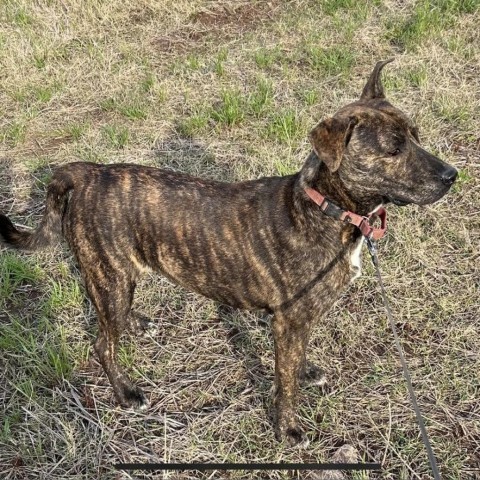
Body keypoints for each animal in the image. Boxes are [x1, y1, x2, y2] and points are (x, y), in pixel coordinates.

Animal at [0, 60, 458, 446]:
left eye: (416, 136)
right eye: (393, 149)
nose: (453, 175)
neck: (325, 206)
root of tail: (86, 172)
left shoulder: (297, 322)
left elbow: (295, 363)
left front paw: (306, 370)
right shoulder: (288, 322)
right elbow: (285, 386)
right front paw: (288, 430)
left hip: (118, 279)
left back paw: (137, 323)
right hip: (108, 278)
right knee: (101, 345)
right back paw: (127, 393)